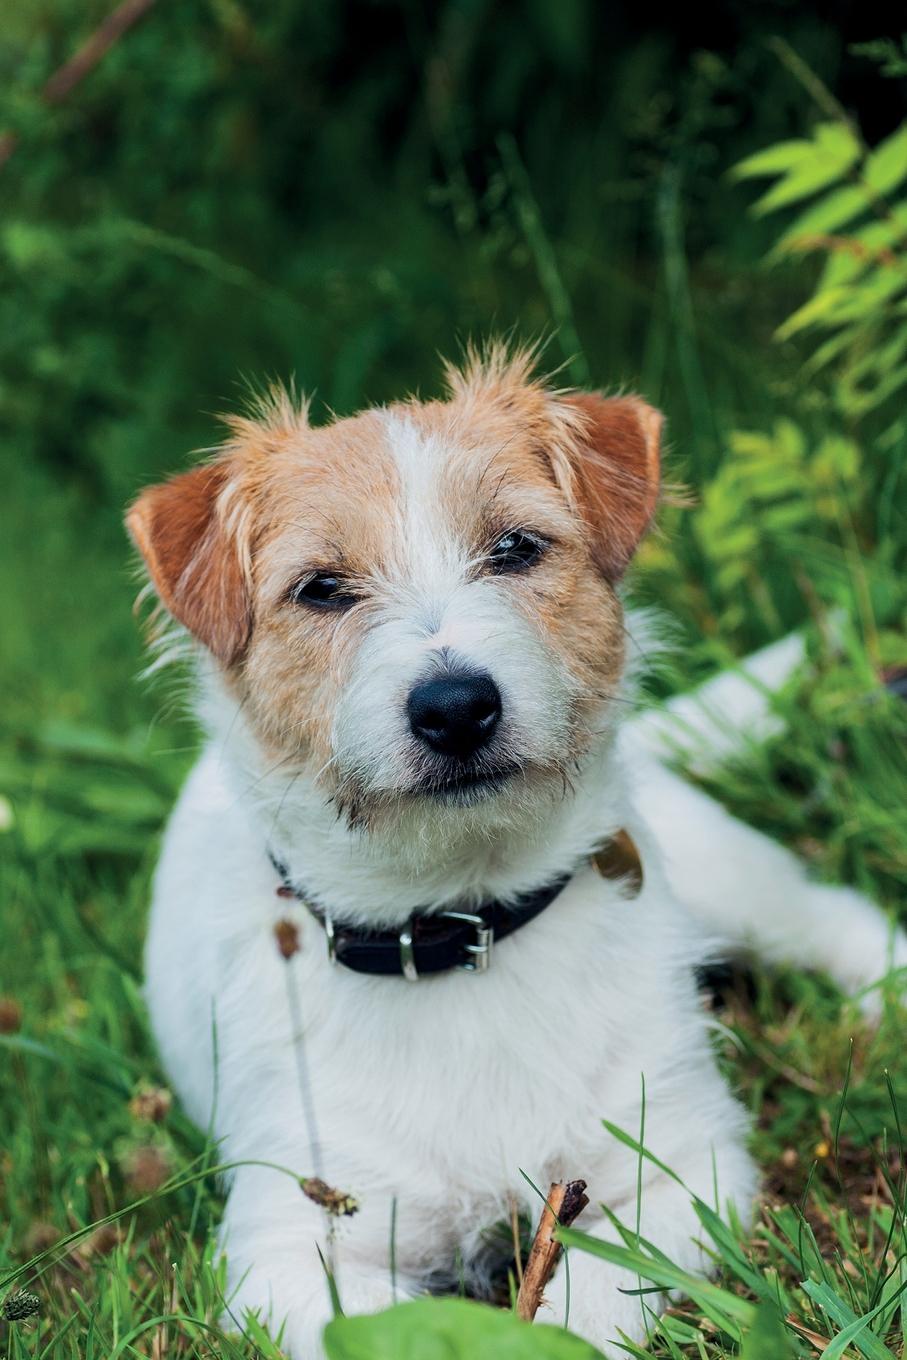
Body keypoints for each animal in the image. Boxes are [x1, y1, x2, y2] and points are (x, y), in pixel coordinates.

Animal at [129, 350, 907, 1360]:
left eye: (514, 548)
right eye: (322, 589)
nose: (456, 706)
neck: (467, 925)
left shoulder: (682, 1169)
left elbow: (594, 1295)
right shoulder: (285, 1249)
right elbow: (393, 1327)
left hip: (731, 881)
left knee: (832, 916)